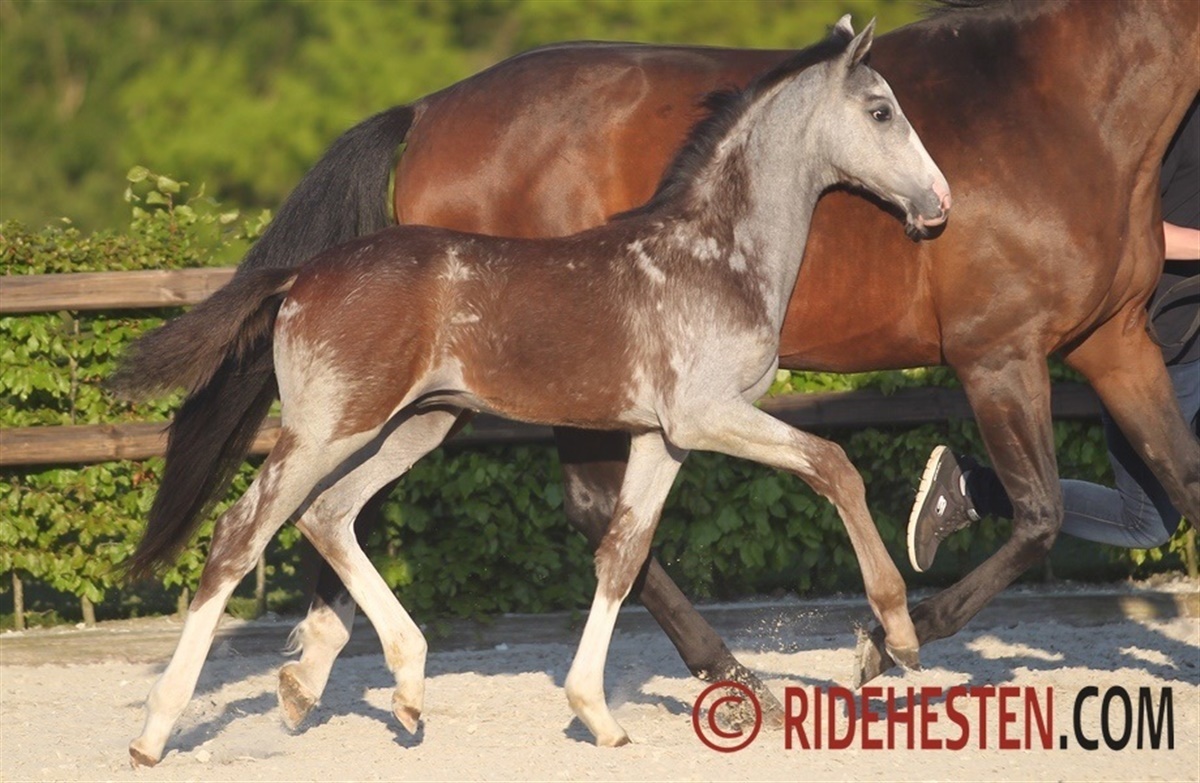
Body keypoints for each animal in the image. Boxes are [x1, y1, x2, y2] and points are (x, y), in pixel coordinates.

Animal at [122, 0, 1200, 730]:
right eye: (883, 112)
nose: (937, 207)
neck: (1069, 107)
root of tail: (427, 108)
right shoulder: (995, 353)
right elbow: (1011, 509)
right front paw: (884, 639)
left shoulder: (1116, 343)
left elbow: (1174, 484)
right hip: (412, 408)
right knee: (291, 519)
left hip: (432, 408)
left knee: (348, 508)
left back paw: (345, 675)